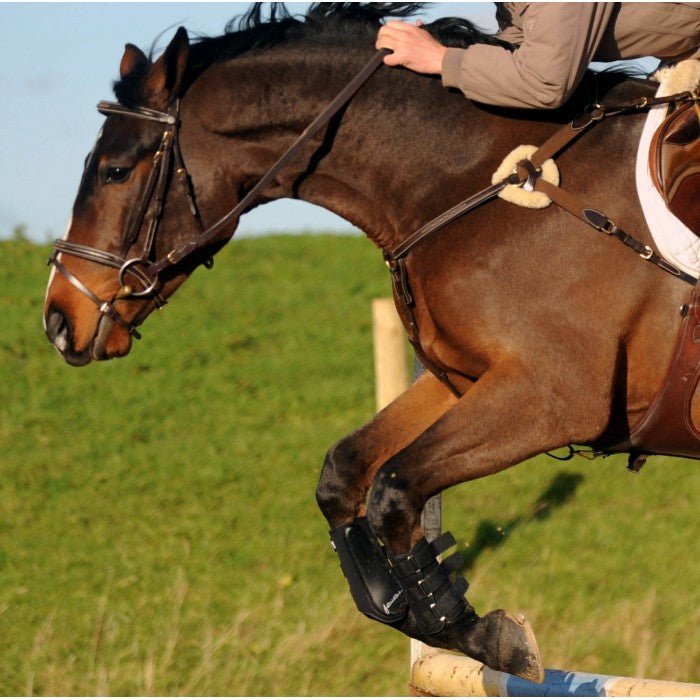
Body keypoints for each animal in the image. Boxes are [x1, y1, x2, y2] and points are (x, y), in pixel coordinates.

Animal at [41, 1, 688, 684]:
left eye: (116, 170)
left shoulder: (554, 395)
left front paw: (488, 636)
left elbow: (395, 493)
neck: (468, 181)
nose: (59, 320)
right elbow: (345, 473)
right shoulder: (463, 379)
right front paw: (408, 607)